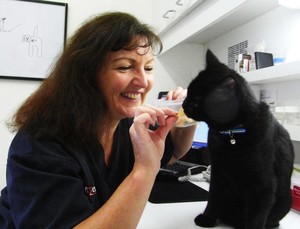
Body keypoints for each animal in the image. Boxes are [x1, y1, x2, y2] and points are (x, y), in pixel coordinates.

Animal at [182, 50, 294, 229]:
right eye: (188, 92)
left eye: (196, 100)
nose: (184, 104)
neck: (231, 133)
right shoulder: (218, 172)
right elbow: (213, 198)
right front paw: (207, 219)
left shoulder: (264, 184)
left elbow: (256, 218)